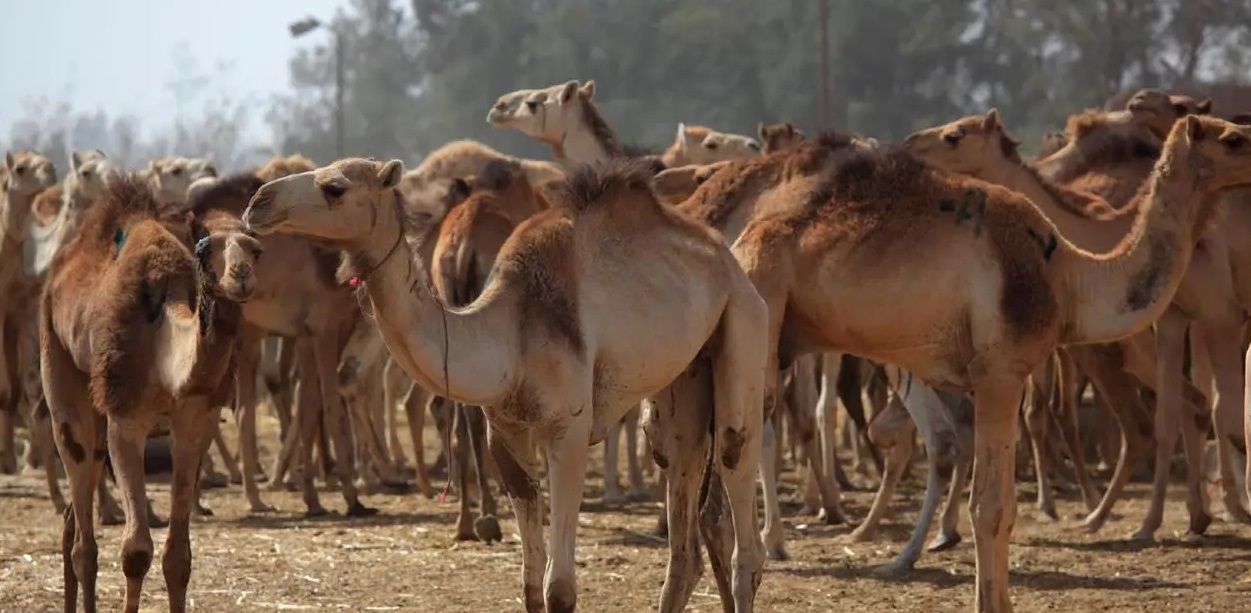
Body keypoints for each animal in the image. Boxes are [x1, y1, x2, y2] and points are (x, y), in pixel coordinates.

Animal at [42, 172, 251, 613]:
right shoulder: (126, 421)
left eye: (256, 246)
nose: (241, 274)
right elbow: (135, 552)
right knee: (84, 542)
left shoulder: (194, 423)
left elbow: (178, 557)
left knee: (73, 521)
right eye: (204, 246)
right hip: (59, 368)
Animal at [241, 157, 770, 613]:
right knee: (685, 521)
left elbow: (560, 590)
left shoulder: (568, 431)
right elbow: (531, 588)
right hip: (683, 383)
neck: (511, 332)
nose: (258, 202)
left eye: (335, 187)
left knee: (739, 487)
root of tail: (727, 260)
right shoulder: (506, 433)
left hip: (742, 324)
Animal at [715, 117, 1251, 610]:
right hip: (762, 308)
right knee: (739, 449)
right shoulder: (999, 373)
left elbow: (1000, 503)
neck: (1069, 277)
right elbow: (991, 507)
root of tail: (741, 242)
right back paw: (754, 567)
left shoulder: (998, 377)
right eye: (1233, 139)